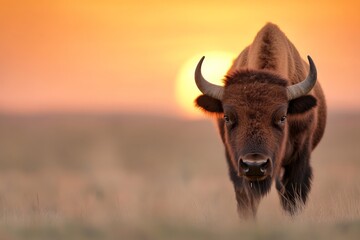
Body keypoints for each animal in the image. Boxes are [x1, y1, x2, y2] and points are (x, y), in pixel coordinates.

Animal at [194, 23, 326, 218]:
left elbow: (293, 197)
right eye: (227, 117)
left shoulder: (300, 158)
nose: (255, 165)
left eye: (283, 117)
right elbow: (247, 199)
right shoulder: (236, 165)